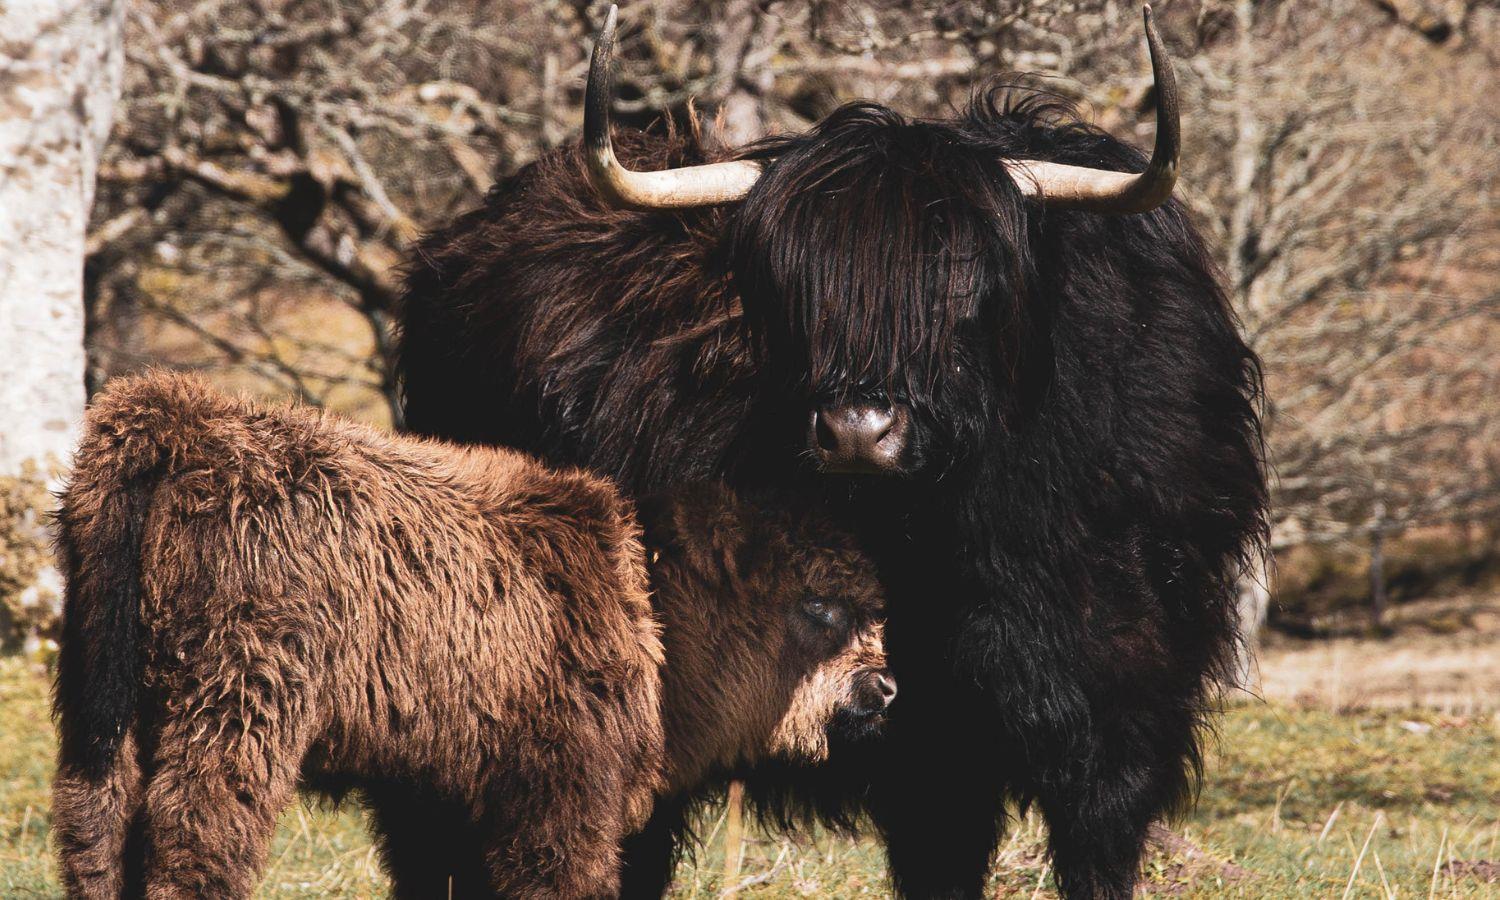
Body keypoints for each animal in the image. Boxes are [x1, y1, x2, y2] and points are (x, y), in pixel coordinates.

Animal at [49, 369, 888, 894]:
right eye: (820, 605)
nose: (884, 687)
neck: (646, 598)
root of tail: (179, 427)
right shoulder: (561, 798)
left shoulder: (433, 796)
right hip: (237, 706)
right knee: (192, 838)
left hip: (103, 699)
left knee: (95, 828)